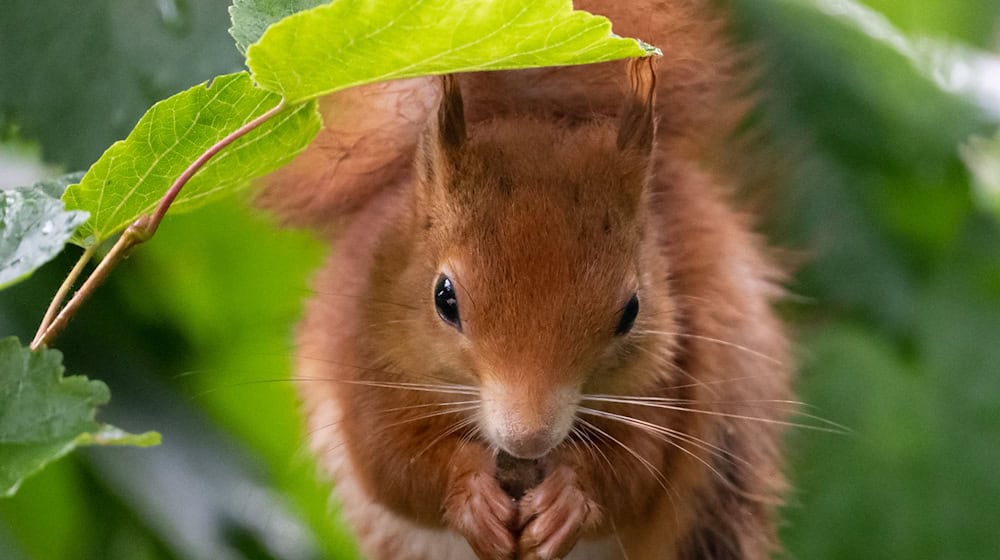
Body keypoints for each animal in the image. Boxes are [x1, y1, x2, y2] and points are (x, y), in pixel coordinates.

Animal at [260, 1, 792, 558]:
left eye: (632, 310)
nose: (529, 438)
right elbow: (390, 465)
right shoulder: (361, 361)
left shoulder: (663, 380)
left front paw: (568, 498)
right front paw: (471, 494)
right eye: (444, 299)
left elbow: (637, 470)